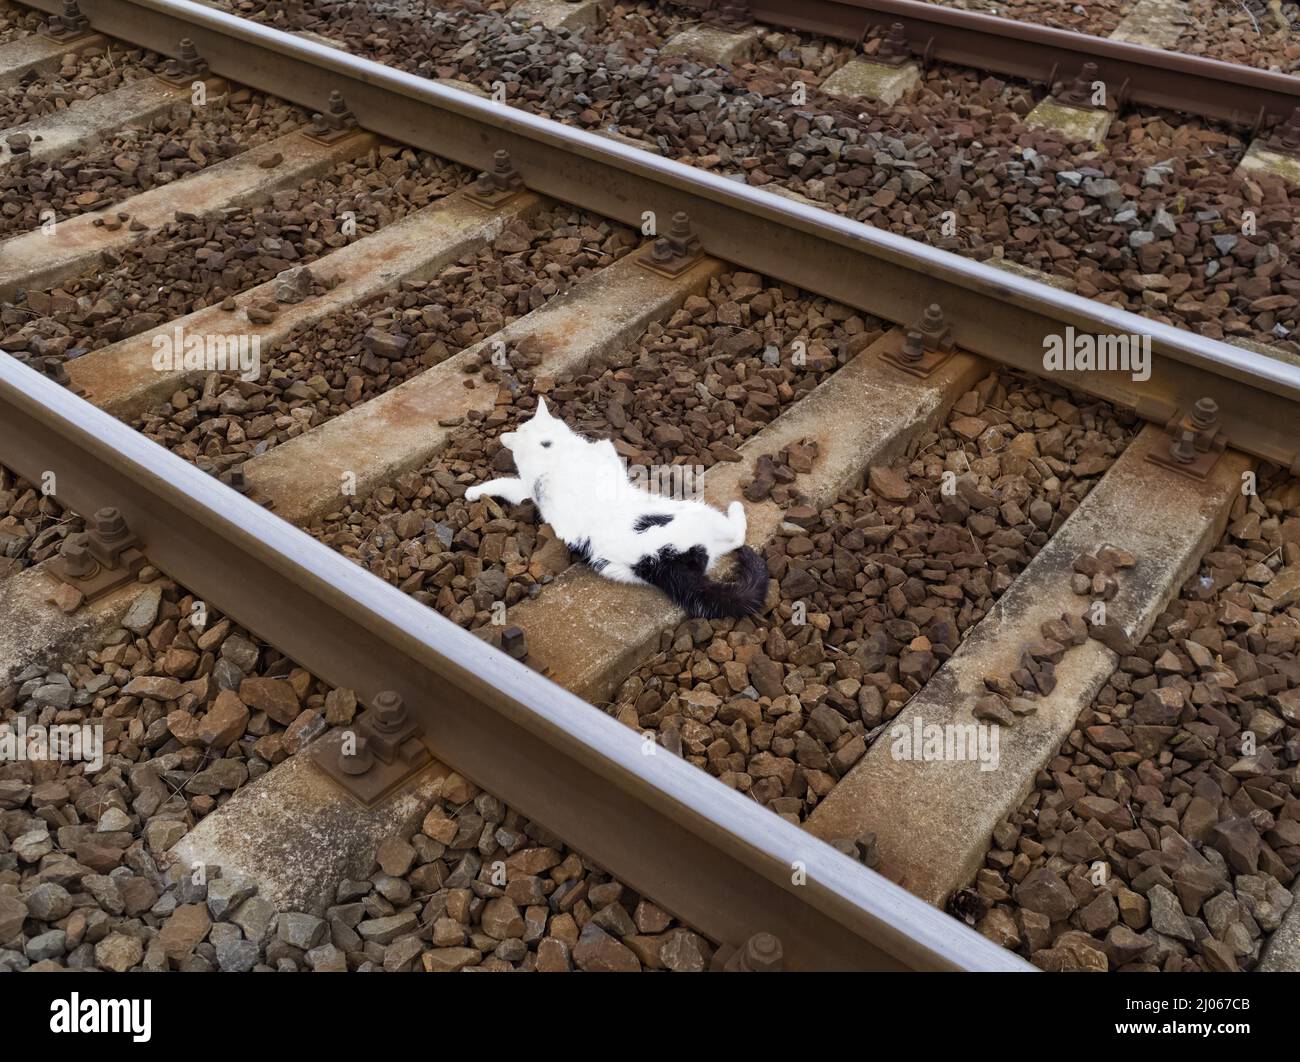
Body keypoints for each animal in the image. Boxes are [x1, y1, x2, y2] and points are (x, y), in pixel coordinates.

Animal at [467, 397, 769, 616]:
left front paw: (473, 492)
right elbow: (607, 446)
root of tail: (662, 563)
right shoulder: (604, 457)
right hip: (698, 514)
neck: (551, 453)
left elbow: (504, 484)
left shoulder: (526, 489)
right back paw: (736, 510)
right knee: (736, 536)